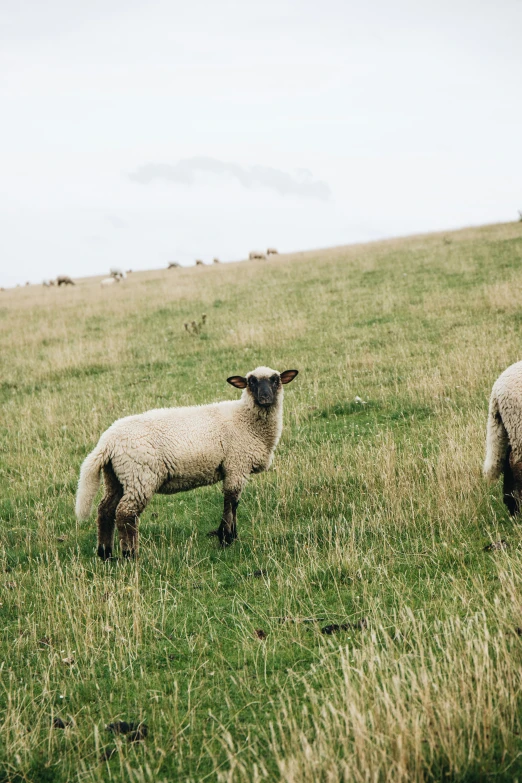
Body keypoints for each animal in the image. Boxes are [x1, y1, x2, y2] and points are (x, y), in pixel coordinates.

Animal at [75, 368, 298, 556]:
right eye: (251, 382)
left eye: (275, 380)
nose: (265, 398)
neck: (245, 419)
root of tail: (107, 441)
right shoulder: (237, 465)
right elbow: (231, 502)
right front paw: (227, 538)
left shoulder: (234, 467)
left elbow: (232, 503)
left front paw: (228, 535)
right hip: (140, 476)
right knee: (125, 514)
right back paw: (130, 554)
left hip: (116, 477)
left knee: (105, 510)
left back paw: (105, 553)